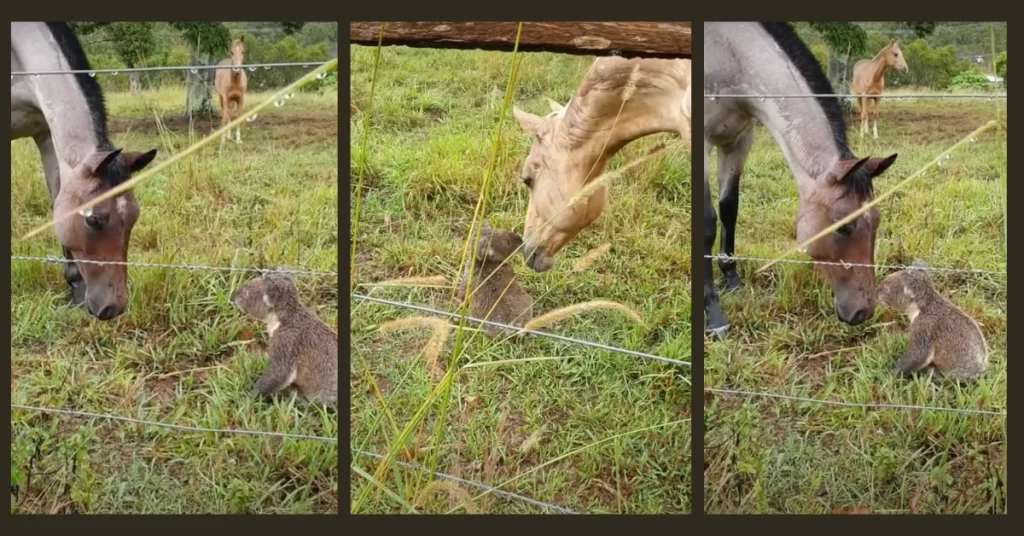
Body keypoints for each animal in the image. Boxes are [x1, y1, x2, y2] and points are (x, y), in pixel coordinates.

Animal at [11, 23, 157, 321]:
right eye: (94, 221)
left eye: (134, 218)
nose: (112, 308)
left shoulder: (46, 132)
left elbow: (57, 198)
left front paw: (75, 286)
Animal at [704, 24, 897, 340]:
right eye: (844, 227)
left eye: (877, 221)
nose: (863, 311)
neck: (731, 54)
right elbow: (708, 221)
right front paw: (713, 314)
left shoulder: (738, 140)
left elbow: (729, 208)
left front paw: (731, 278)